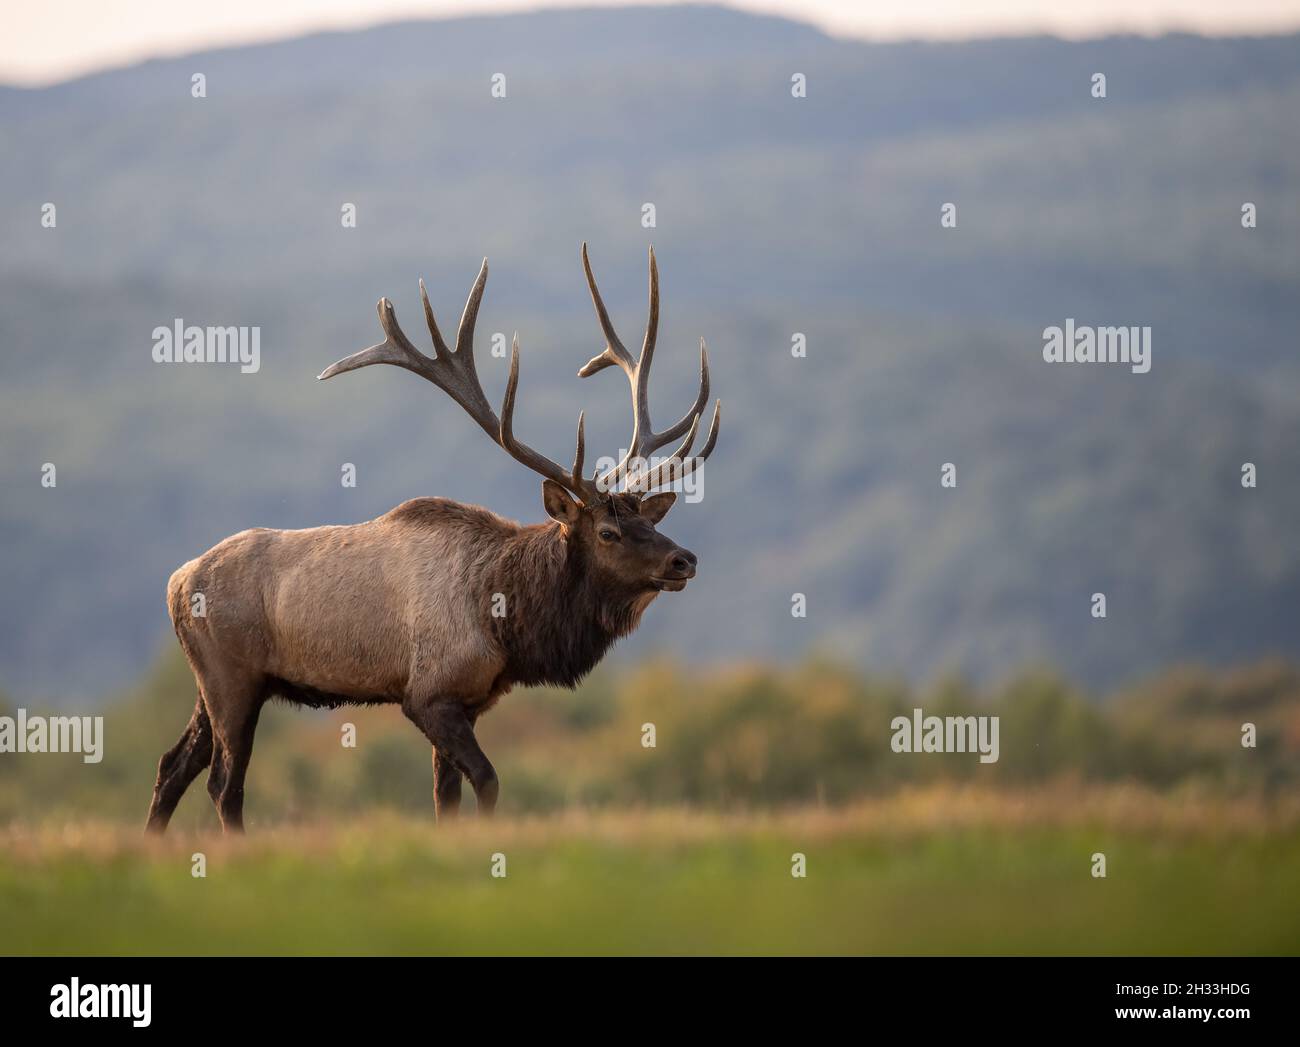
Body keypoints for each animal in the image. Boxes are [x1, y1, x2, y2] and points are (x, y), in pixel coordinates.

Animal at [145, 245, 719, 833]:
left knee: (172, 765)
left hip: (213, 681)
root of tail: (176, 582)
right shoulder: (428, 694)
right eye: (607, 532)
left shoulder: (468, 699)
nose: (684, 560)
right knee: (222, 783)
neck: (504, 618)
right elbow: (486, 781)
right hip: (231, 677)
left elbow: (447, 797)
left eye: (650, 523)